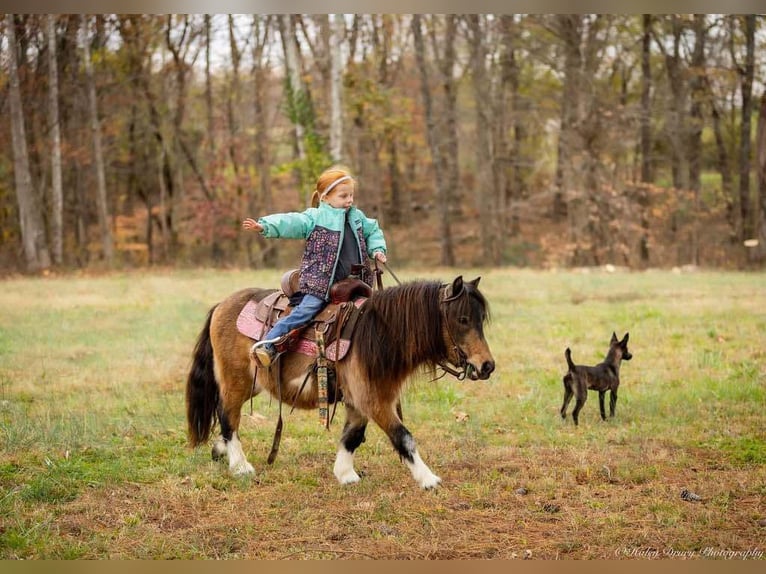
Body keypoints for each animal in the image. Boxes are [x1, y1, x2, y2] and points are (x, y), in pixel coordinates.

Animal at [188, 278, 498, 490]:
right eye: (462, 319)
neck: (380, 334)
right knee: (228, 416)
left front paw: (346, 474)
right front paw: (428, 479)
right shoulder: (374, 400)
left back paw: (220, 450)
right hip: (236, 379)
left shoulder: (359, 401)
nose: (487, 366)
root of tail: (221, 306)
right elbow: (403, 436)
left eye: (480, 319)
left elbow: (352, 436)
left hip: (252, 383)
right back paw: (240, 466)